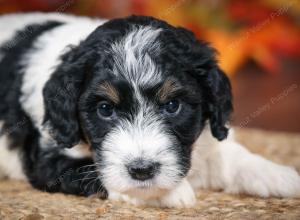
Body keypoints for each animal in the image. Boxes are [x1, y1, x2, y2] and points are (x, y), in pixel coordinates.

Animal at [0, 12, 300, 207]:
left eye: (172, 106)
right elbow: (92, 170)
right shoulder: (48, 157)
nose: (142, 171)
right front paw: (165, 193)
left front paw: (277, 175)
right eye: (105, 109)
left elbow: (227, 155)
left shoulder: (205, 138)